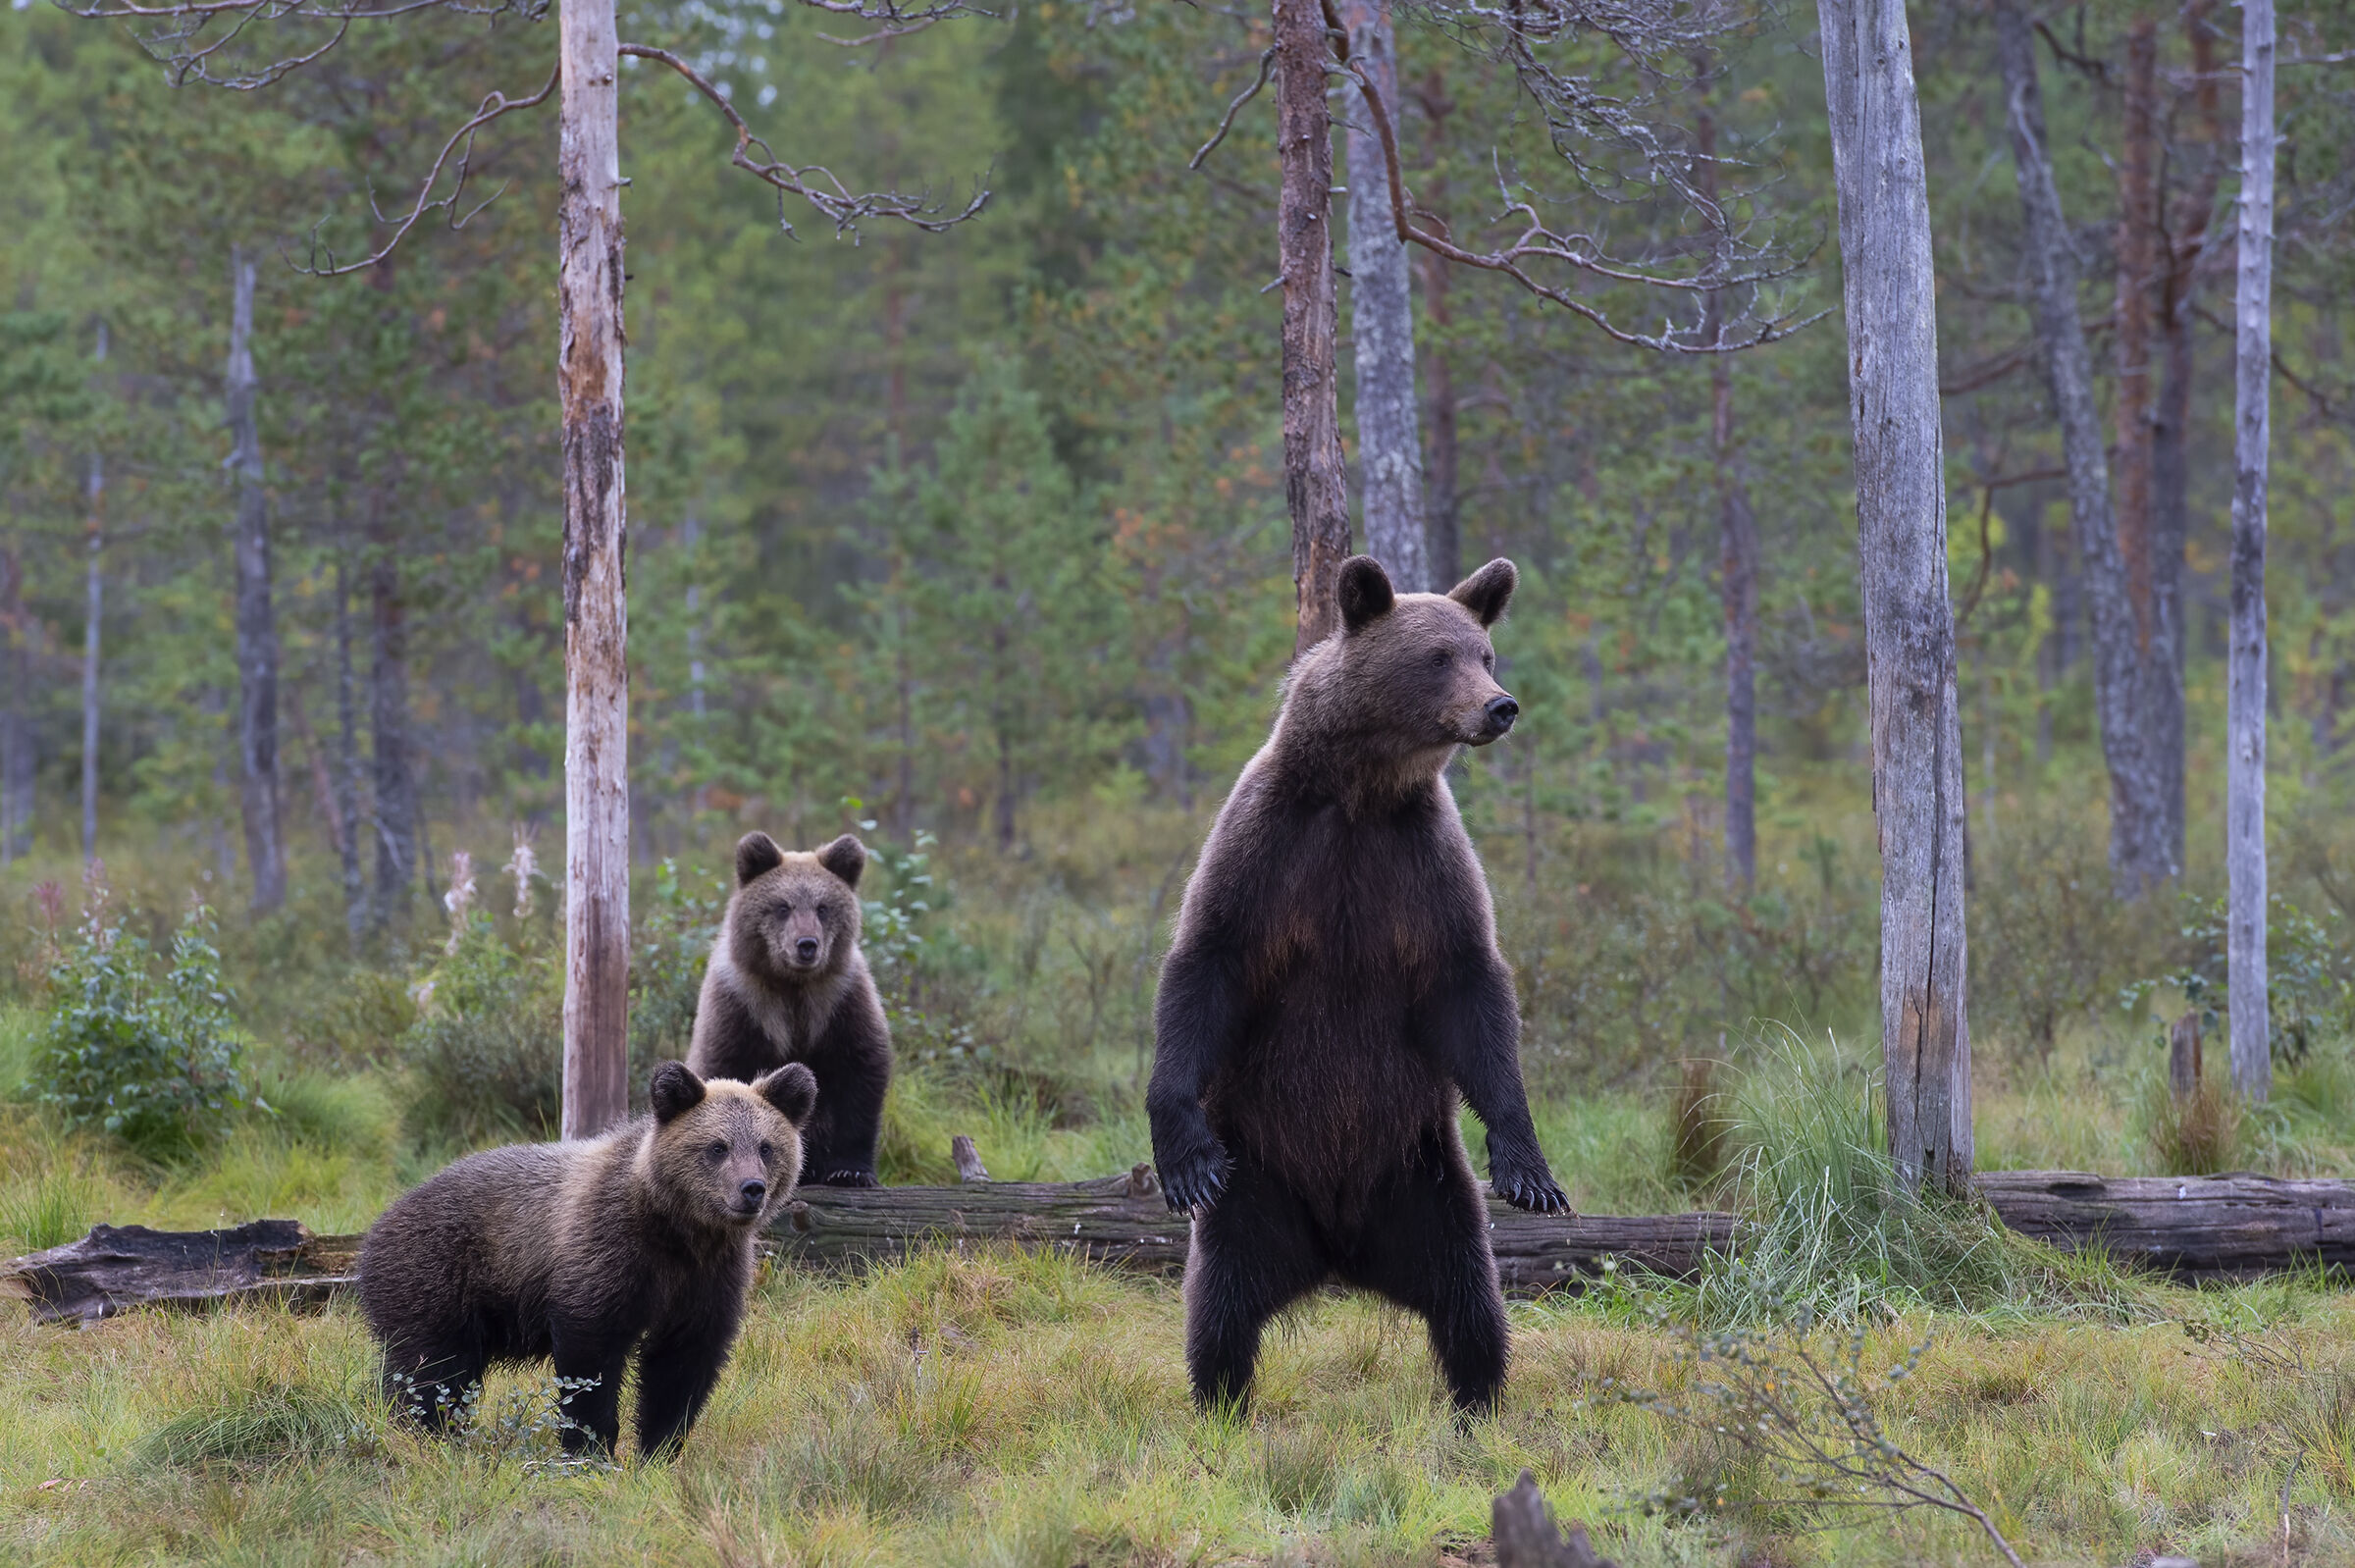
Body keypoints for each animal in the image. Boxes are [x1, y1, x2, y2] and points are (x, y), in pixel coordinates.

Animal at [358, 1059, 817, 1458]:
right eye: (717, 1147)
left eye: (766, 1147)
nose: (751, 1188)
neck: (678, 1231)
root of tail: (377, 1228)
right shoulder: (605, 1257)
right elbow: (590, 1361)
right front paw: (590, 1449)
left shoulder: (707, 1280)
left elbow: (681, 1368)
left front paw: (659, 1449)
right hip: (437, 1281)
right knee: (432, 1374)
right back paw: (424, 1435)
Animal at [685, 832, 893, 1188]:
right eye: (783, 906)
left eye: (823, 907)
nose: (806, 944)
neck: (793, 986)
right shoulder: (740, 1005)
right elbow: (723, 1063)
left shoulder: (841, 1001)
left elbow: (859, 1072)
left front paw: (850, 1171)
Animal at [1147, 554, 1568, 1417]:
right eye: (1438, 657)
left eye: (1485, 652)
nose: (1500, 705)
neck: (1362, 792)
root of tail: (1339, 1251)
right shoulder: (1269, 845)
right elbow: (1207, 961)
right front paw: (1180, 1153)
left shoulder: (1424, 865)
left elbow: (1471, 989)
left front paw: (1529, 1167)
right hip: (1257, 1182)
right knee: (1221, 1306)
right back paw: (1221, 1405)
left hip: (1423, 1183)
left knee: (1471, 1301)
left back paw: (1477, 1404)